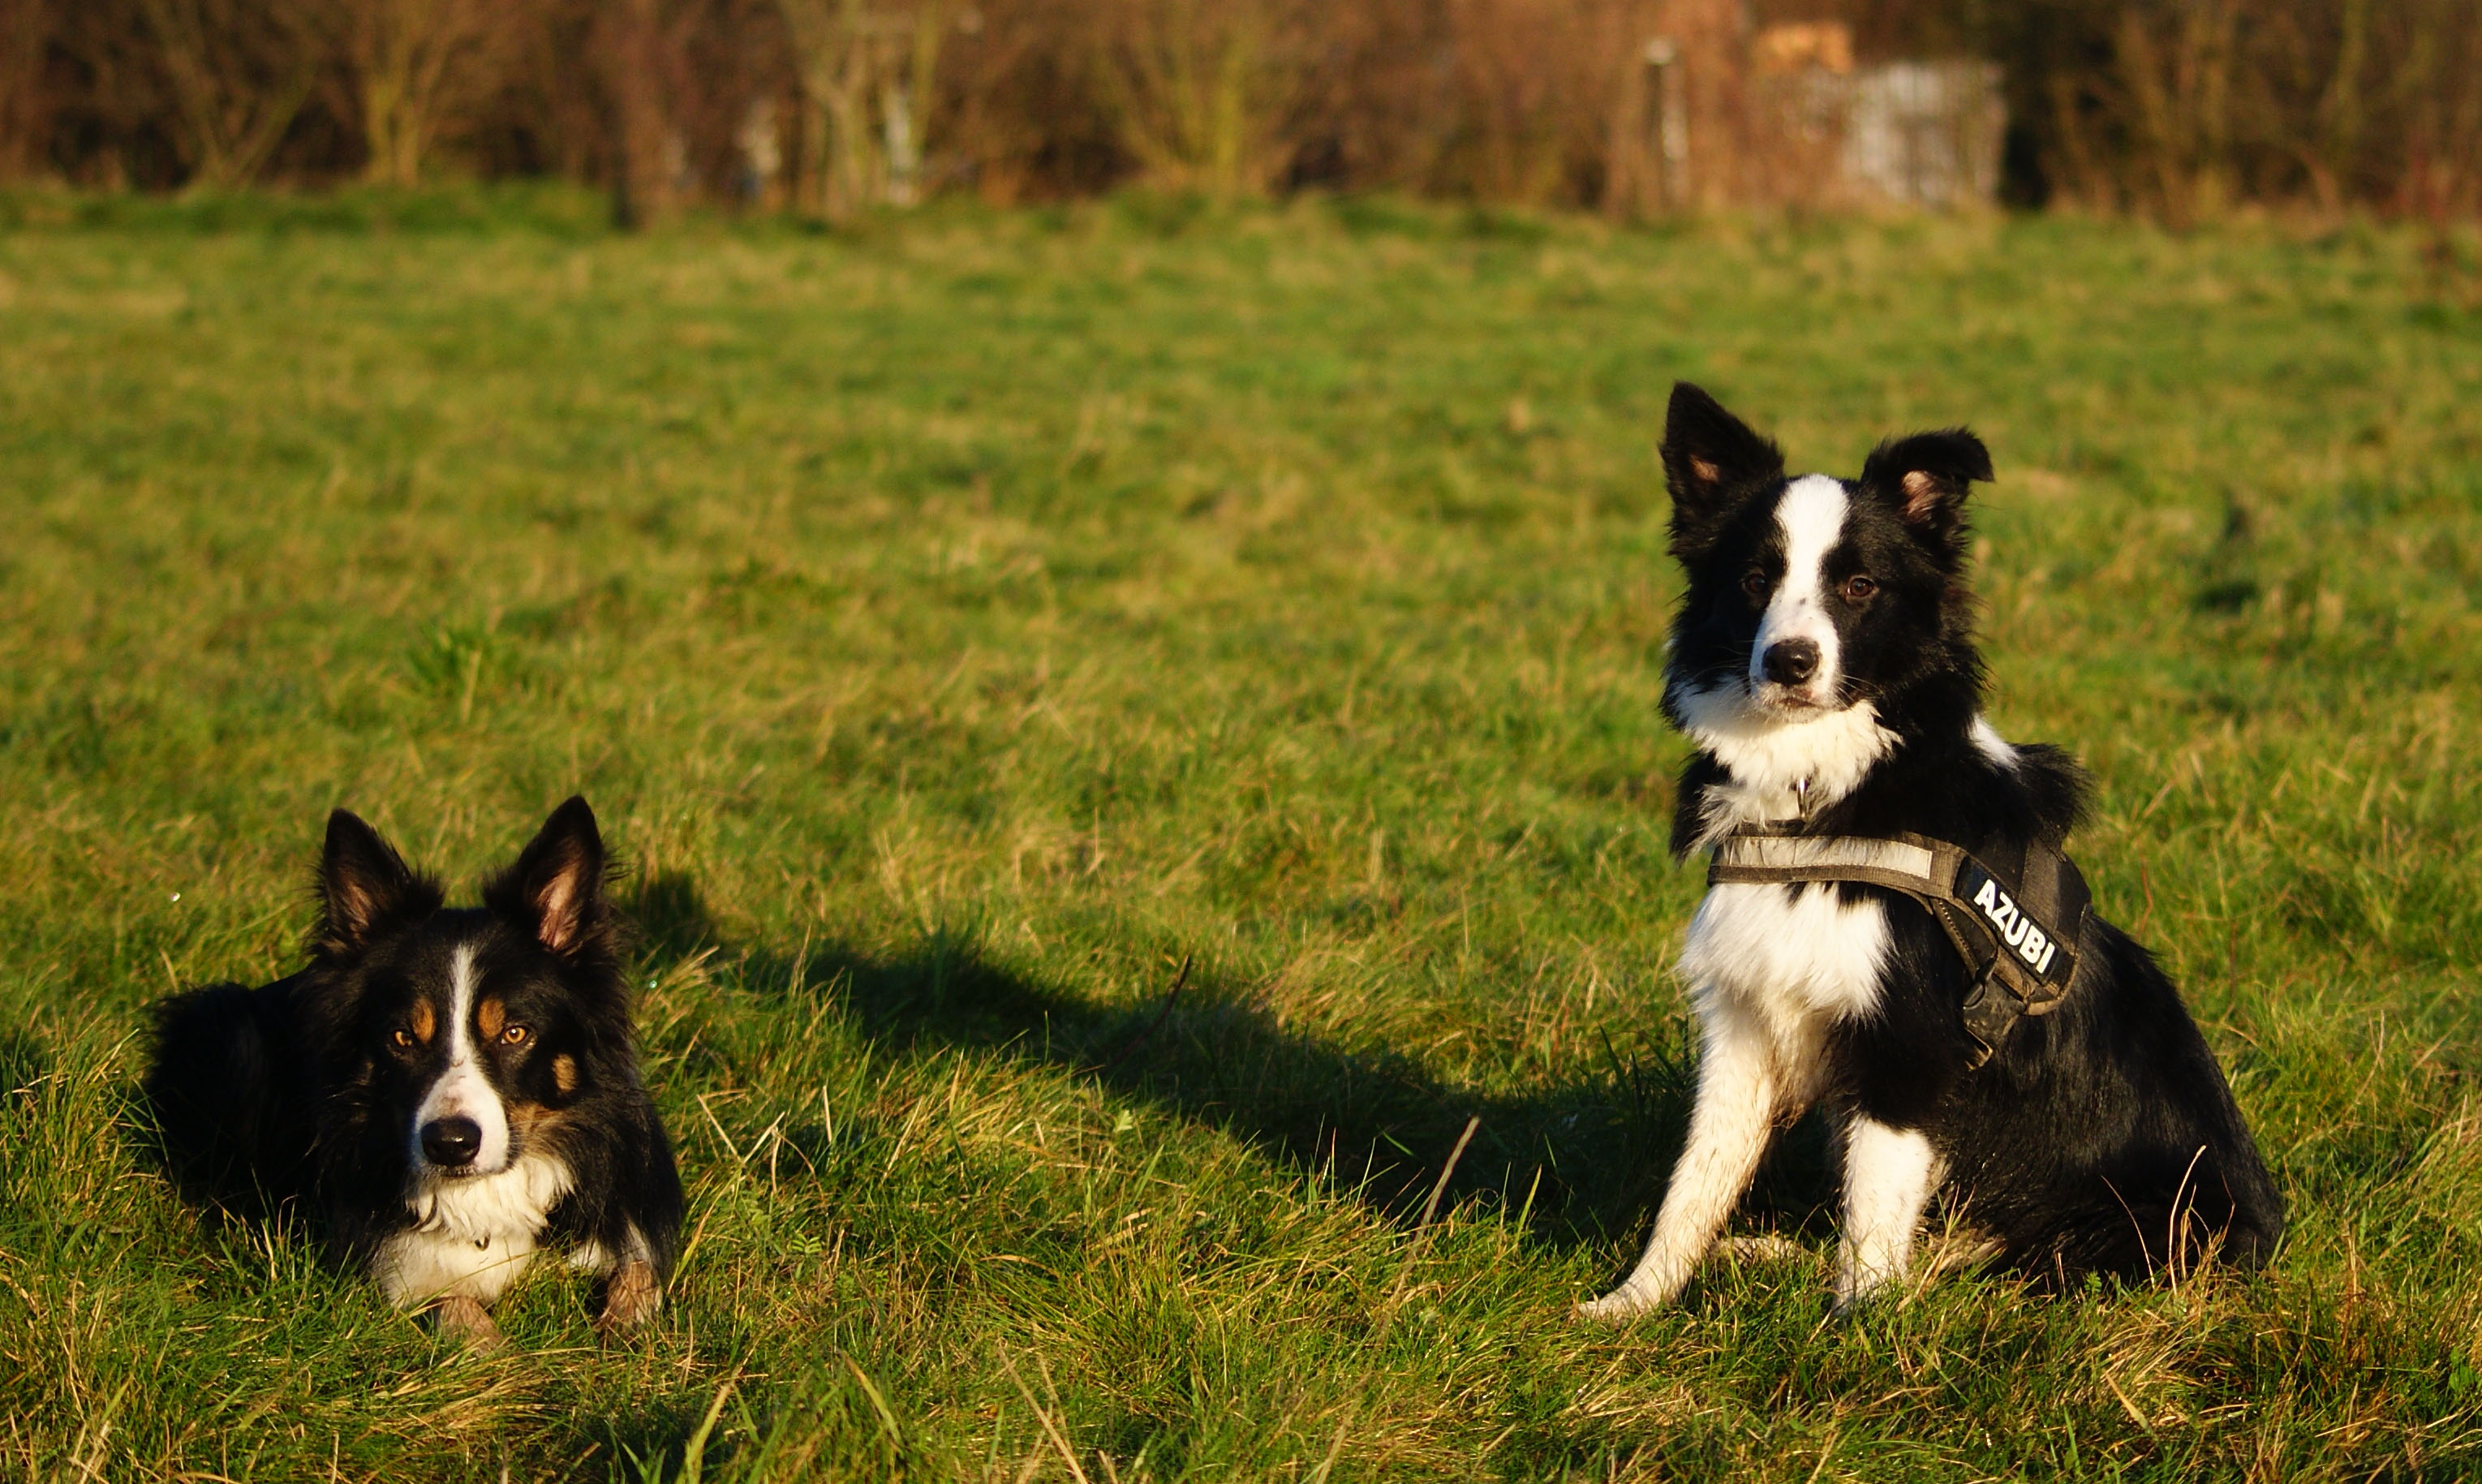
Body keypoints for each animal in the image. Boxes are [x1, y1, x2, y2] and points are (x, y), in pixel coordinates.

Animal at [148, 803, 685, 1349]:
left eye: (514, 1032)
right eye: (403, 1037)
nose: (450, 1145)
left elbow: (639, 1273)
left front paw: (625, 1332)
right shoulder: (399, 1271)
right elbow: (458, 1307)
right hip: (231, 1030)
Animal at [1578, 387, 2273, 1330]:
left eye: (1858, 585)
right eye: (1754, 579)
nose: (1789, 661)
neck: (1823, 793)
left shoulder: (1910, 1040)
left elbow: (1872, 1215)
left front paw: (1850, 1335)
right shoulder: (1745, 1021)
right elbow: (1696, 1180)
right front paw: (1633, 1302)